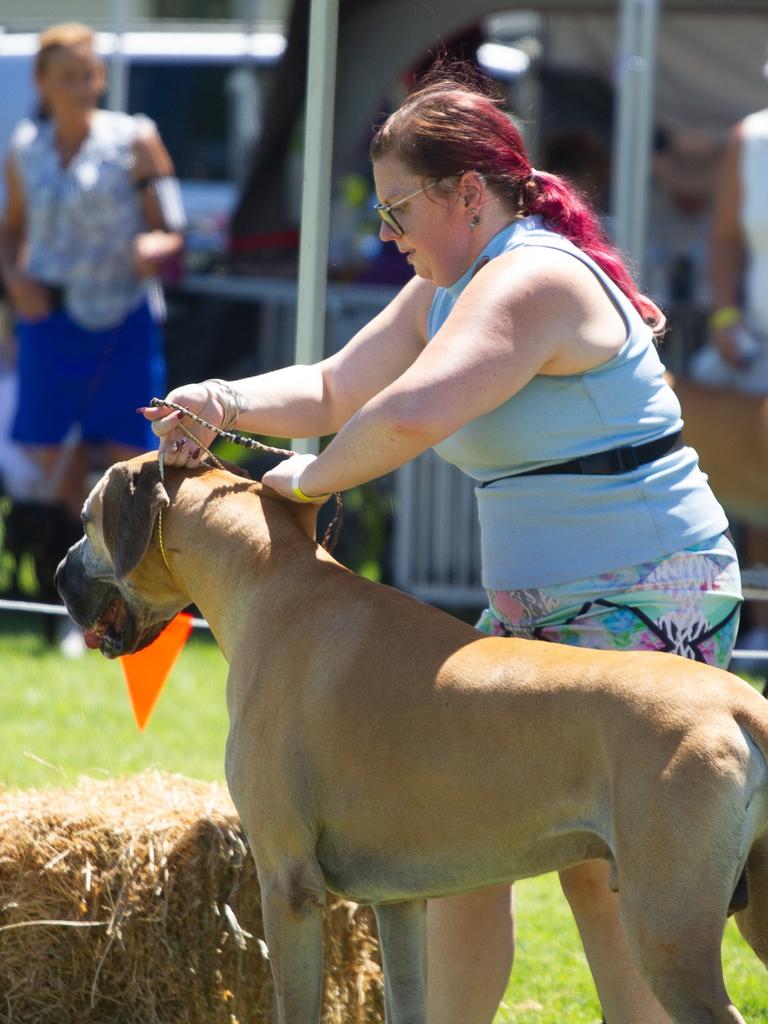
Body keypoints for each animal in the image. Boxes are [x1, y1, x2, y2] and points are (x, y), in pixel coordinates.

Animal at [55, 456, 768, 1024]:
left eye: (87, 519)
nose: (59, 574)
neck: (270, 581)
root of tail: (740, 703)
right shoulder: (397, 903)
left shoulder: (287, 883)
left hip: (666, 930)